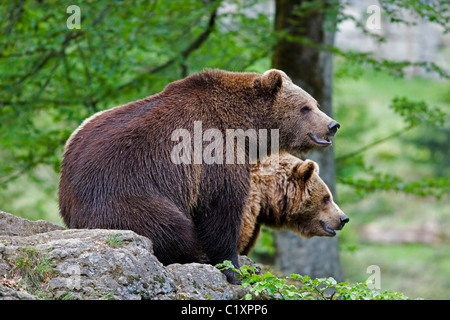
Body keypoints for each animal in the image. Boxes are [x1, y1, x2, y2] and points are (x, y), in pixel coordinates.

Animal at [60, 68, 342, 282]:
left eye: (315, 104)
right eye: (304, 108)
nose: (332, 125)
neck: (245, 128)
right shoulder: (213, 154)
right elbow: (221, 210)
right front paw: (233, 269)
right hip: (126, 196)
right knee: (170, 227)